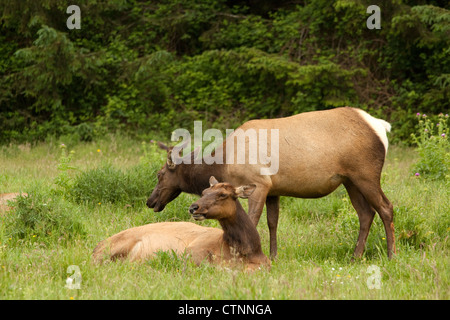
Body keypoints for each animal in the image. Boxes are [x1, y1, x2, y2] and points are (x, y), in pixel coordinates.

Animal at [90, 176, 268, 272]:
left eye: (223, 194)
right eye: (204, 192)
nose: (193, 207)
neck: (248, 249)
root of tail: (96, 247)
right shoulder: (192, 251)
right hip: (110, 250)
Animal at [148, 107, 398, 260]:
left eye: (160, 174)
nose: (151, 201)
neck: (224, 162)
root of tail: (381, 127)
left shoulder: (258, 184)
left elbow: (252, 220)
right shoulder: (273, 190)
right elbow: (272, 223)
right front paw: (274, 255)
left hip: (366, 173)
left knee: (386, 207)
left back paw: (391, 254)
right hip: (349, 180)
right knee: (366, 213)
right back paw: (356, 256)